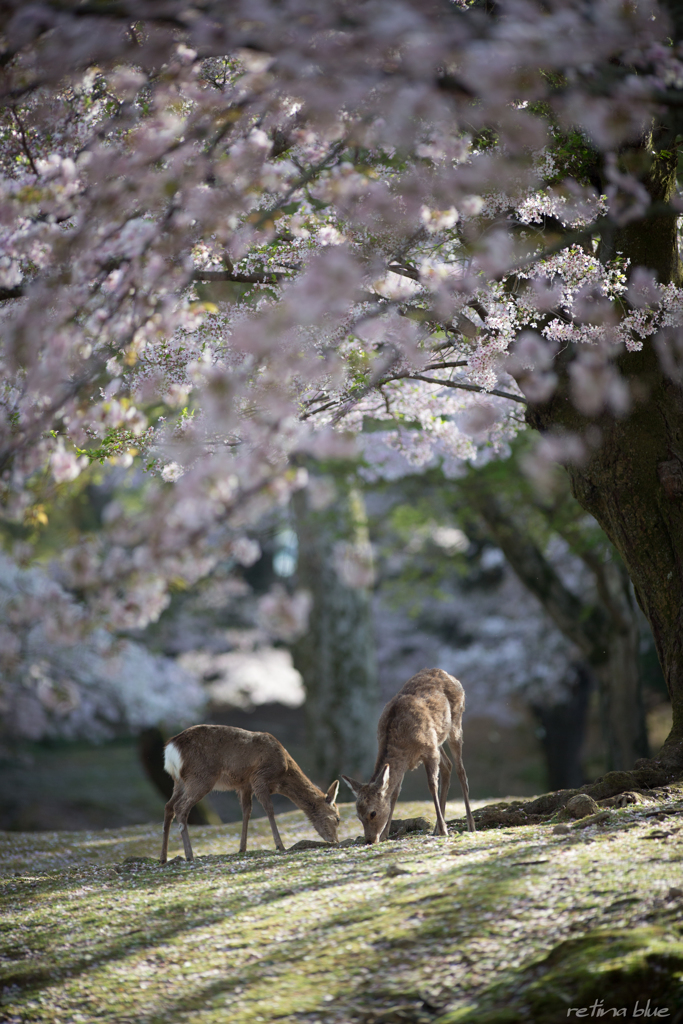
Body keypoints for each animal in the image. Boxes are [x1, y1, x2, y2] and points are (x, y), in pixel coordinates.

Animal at [160, 724, 342, 860]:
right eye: (338, 818)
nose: (335, 840)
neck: (283, 773)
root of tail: (171, 749)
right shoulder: (259, 778)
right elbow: (269, 809)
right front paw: (280, 845)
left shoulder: (244, 784)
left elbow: (246, 811)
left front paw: (242, 848)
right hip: (201, 777)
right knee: (180, 808)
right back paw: (189, 855)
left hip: (179, 781)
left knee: (169, 806)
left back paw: (163, 858)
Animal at [339, 667, 475, 843]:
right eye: (358, 816)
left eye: (373, 813)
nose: (370, 840)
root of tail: (445, 673)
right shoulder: (414, 756)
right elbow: (395, 792)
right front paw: (385, 834)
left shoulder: (429, 750)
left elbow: (432, 785)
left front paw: (444, 830)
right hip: (437, 738)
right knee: (448, 766)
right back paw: (436, 828)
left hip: (456, 723)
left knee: (461, 771)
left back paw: (469, 825)